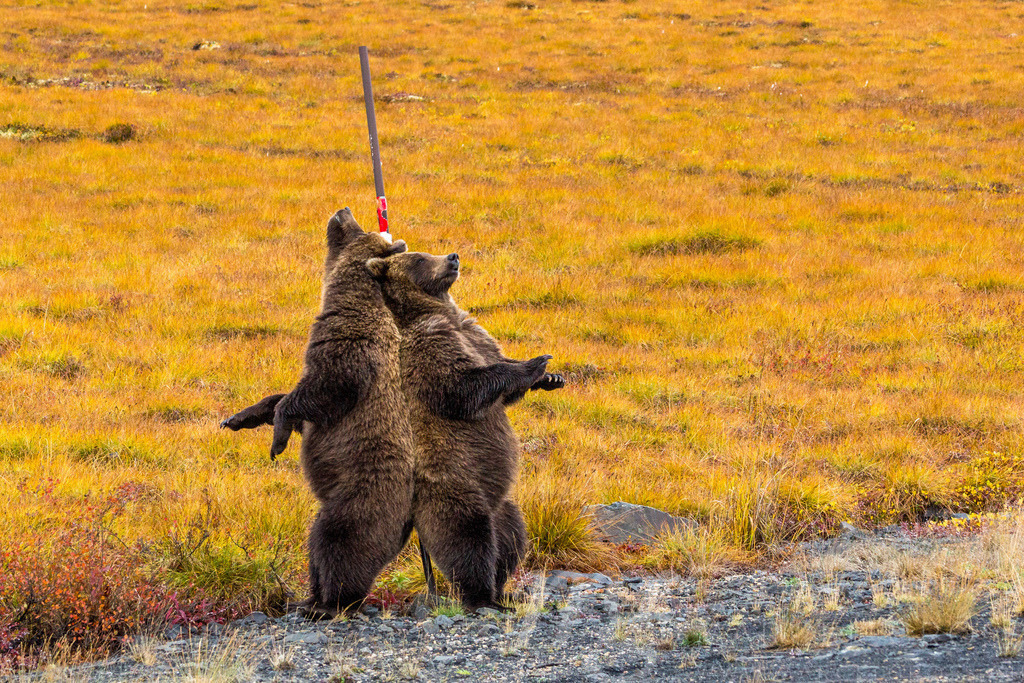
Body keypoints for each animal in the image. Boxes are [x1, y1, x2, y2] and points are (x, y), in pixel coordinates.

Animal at [222, 208, 414, 618]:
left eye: (361, 228)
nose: (343, 210)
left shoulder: (350, 353)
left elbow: (319, 391)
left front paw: (277, 439)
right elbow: (286, 398)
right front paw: (240, 418)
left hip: (359, 498)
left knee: (336, 541)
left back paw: (328, 603)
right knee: (317, 547)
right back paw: (306, 597)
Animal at [364, 249, 563, 611]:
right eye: (419, 258)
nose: (452, 256)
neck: (440, 312)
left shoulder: (475, 333)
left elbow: (499, 376)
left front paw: (550, 377)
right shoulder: (429, 345)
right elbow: (461, 387)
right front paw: (536, 363)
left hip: (501, 504)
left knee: (512, 536)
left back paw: (504, 590)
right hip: (455, 488)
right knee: (468, 540)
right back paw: (482, 596)